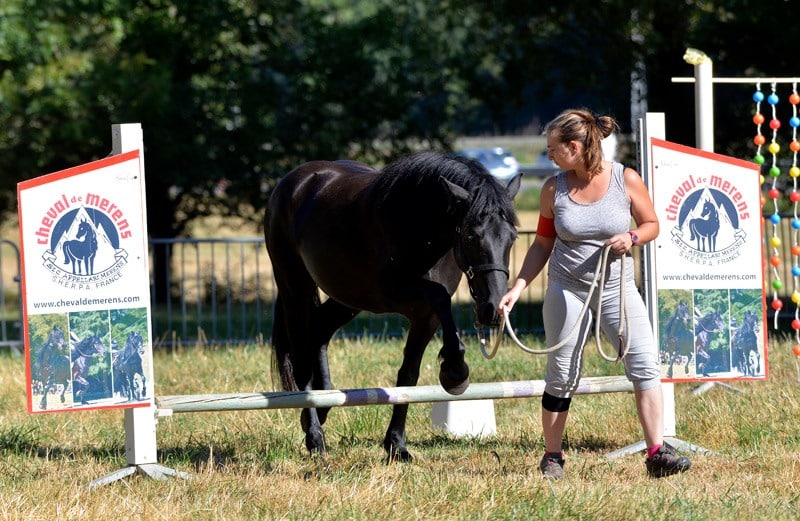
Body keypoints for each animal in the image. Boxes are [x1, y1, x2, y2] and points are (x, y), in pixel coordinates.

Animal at [266, 150, 520, 460]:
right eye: (471, 236)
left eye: (512, 237)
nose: (493, 308)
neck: (419, 230)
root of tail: (290, 182)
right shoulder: (395, 292)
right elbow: (440, 297)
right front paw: (455, 371)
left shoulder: (425, 317)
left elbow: (408, 375)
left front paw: (396, 445)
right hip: (295, 288)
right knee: (301, 354)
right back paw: (315, 437)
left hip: (349, 297)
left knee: (320, 330)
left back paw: (323, 404)